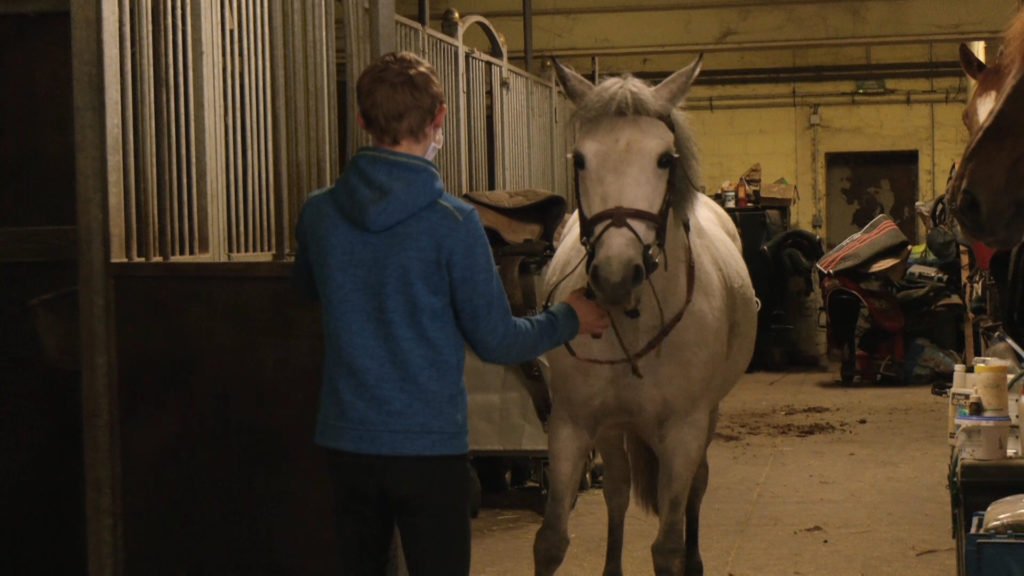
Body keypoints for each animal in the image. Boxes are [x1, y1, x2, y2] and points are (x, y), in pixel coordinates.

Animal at [536, 54, 761, 573]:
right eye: (581, 159)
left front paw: (683, 554)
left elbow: (668, 545)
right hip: (613, 428)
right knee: (617, 492)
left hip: (706, 418)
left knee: (697, 486)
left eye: (664, 159)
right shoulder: (572, 423)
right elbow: (552, 539)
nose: (616, 275)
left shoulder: (683, 431)